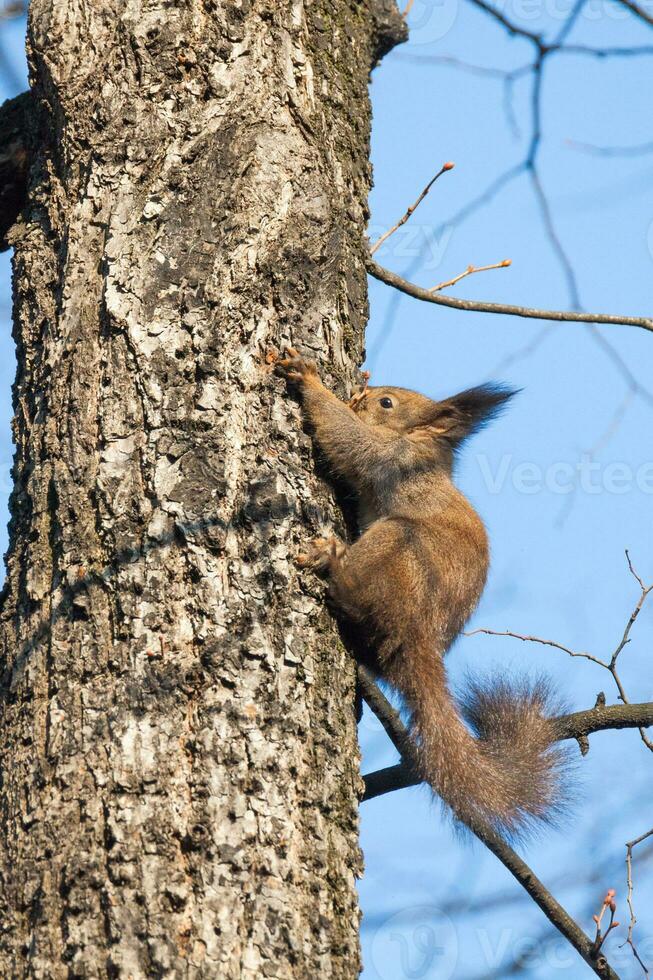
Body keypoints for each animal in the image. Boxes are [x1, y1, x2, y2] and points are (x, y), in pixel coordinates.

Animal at [272, 348, 568, 840]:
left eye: (387, 403)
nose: (364, 393)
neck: (424, 448)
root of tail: (422, 639)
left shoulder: (392, 457)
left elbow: (350, 440)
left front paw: (310, 380)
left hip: (396, 547)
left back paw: (335, 565)